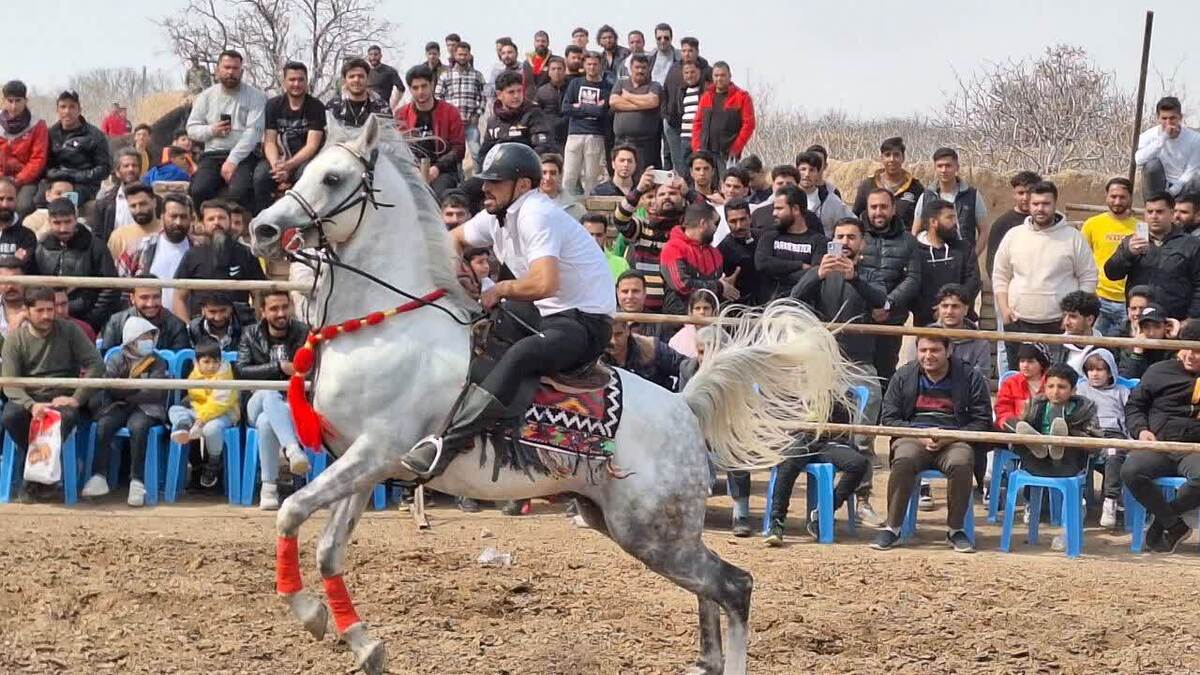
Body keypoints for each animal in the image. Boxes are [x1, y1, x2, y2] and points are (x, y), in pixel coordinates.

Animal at [250, 115, 854, 672]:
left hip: (653, 530)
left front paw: (310, 614)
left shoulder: (376, 451)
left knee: (734, 585)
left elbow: (291, 513)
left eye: (332, 177)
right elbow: (328, 549)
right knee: (711, 586)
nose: (262, 228)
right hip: (636, 528)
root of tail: (684, 407)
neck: (389, 324)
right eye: (303, 170)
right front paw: (364, 643)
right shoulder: (365, 463)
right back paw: (704, 661)